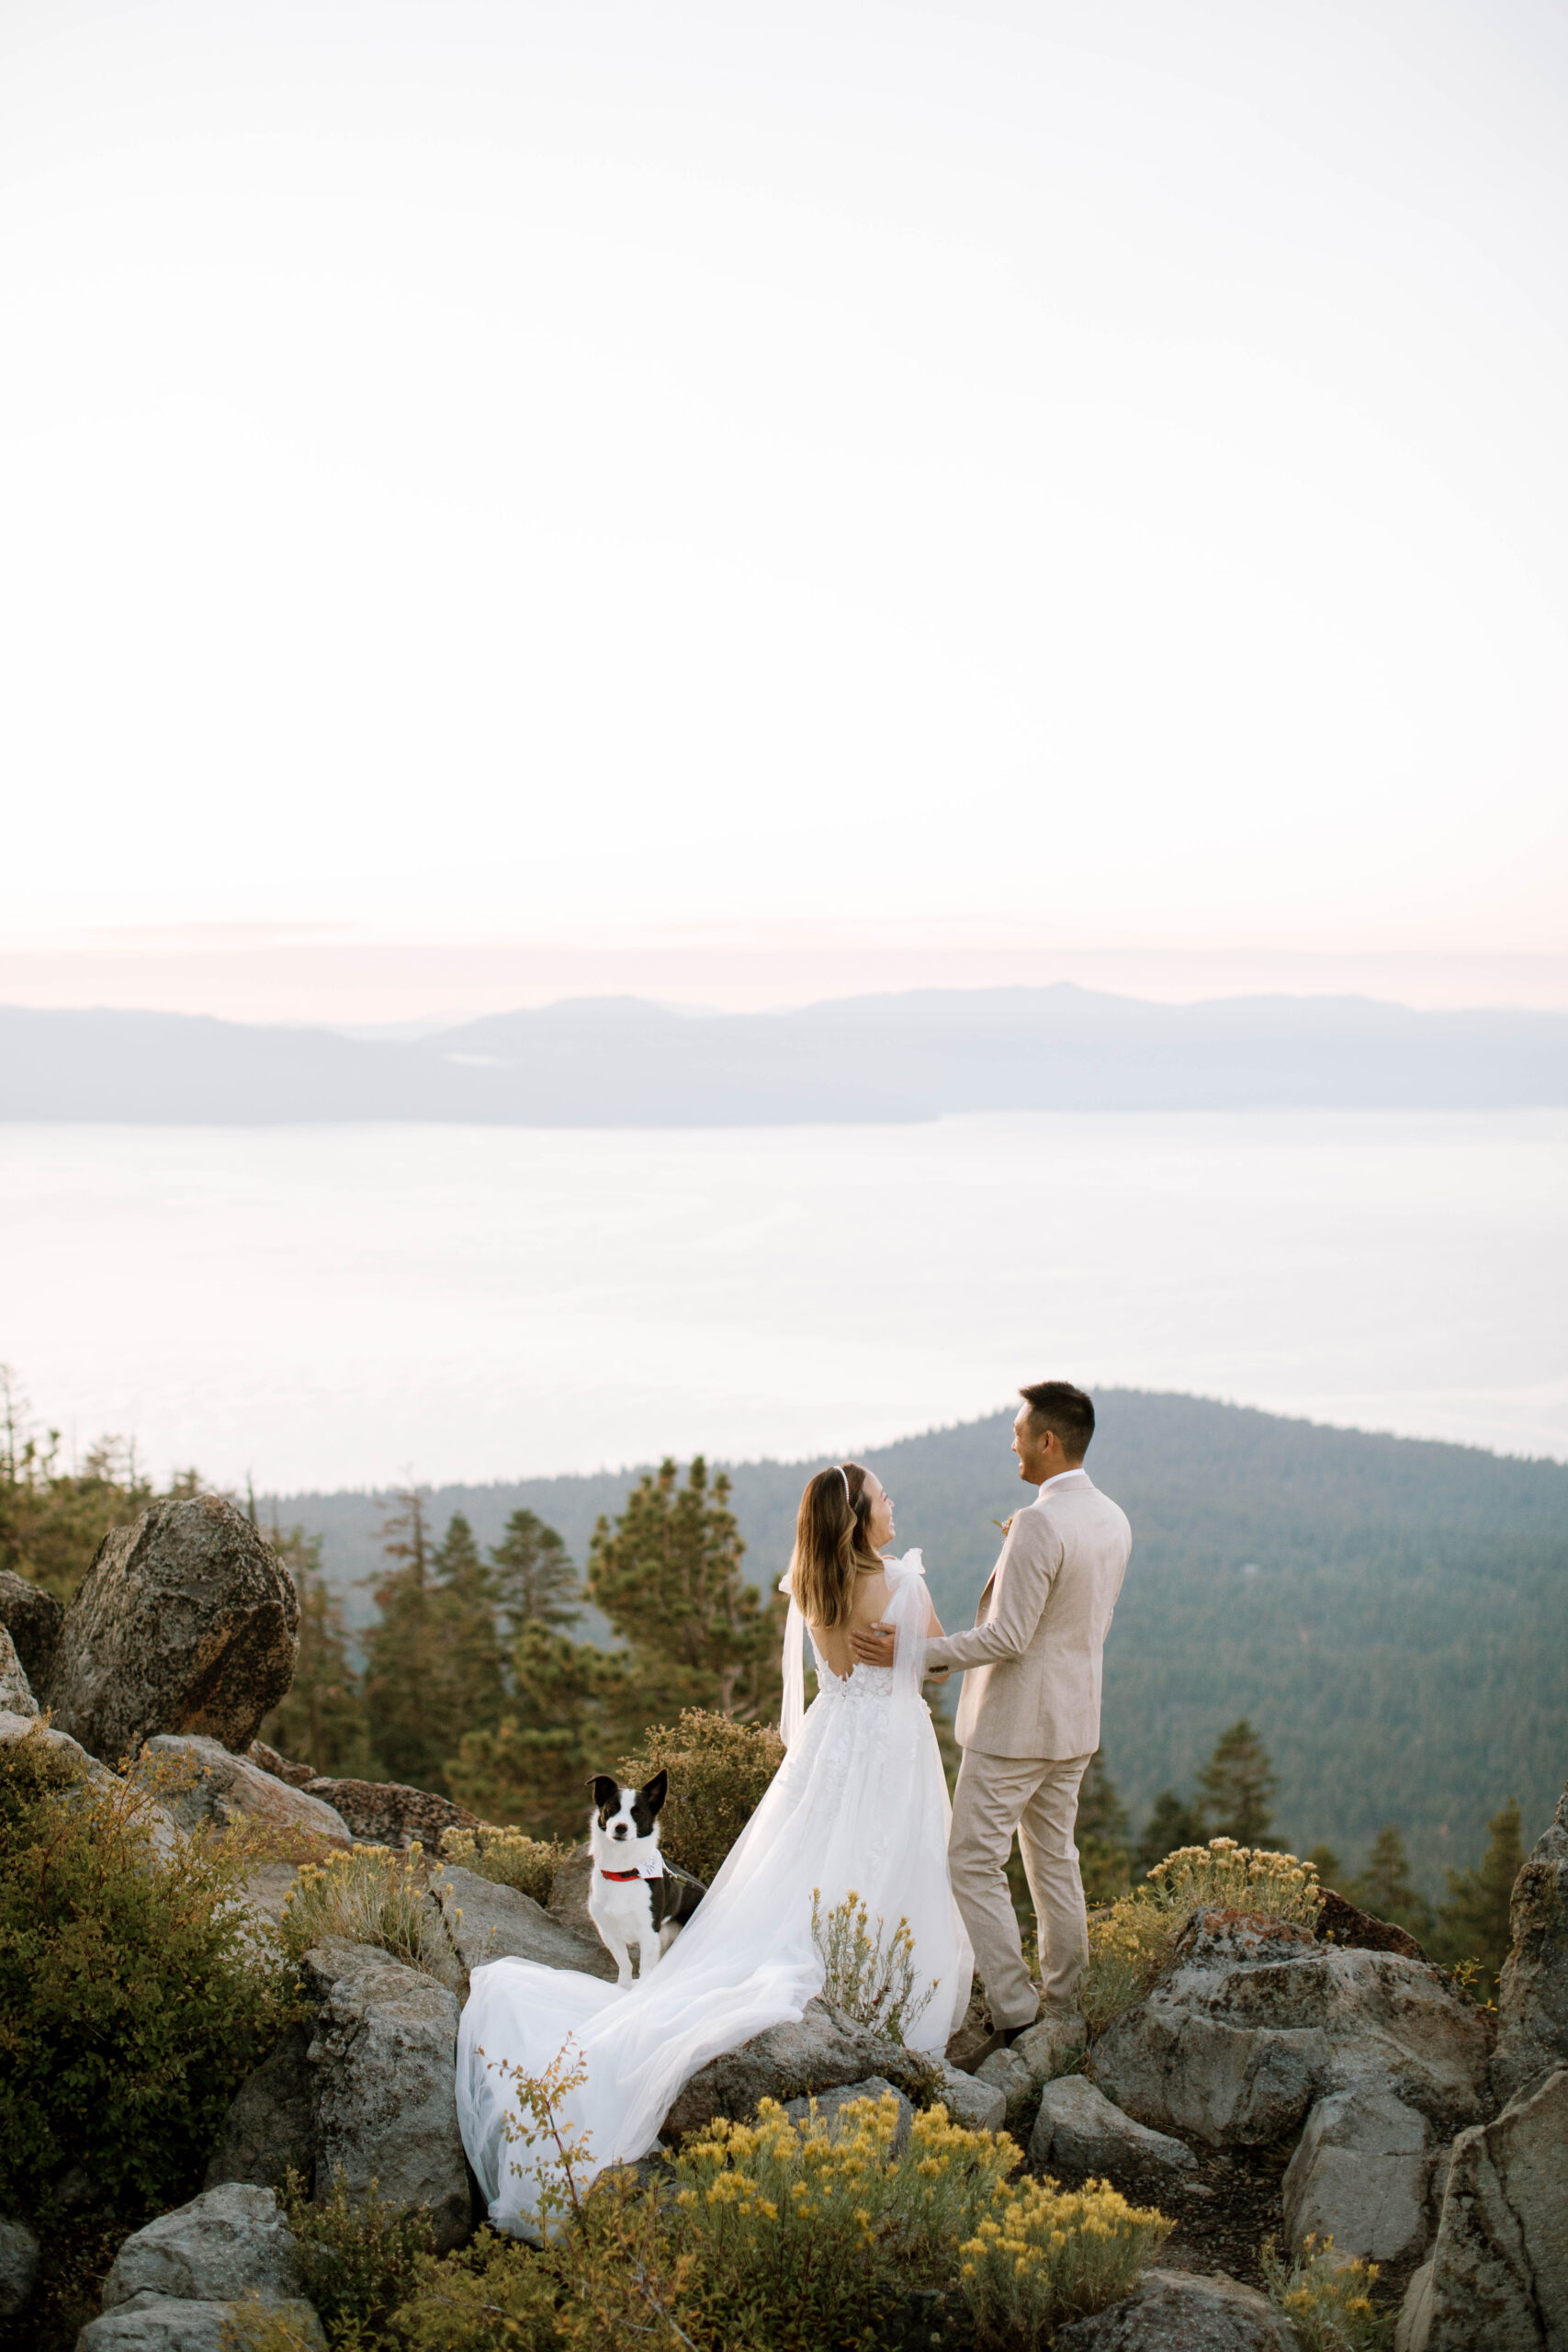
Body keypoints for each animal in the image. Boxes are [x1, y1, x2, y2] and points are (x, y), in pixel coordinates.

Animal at [585, 1769, 709, 1984]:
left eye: (637, 1813)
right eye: (612, 1809)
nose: (621, 1827)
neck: (623, 1871)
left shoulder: (649, 1932)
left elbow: (645, 1969)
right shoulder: (608, 1933)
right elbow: (625, 1965)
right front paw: (624, 1989)